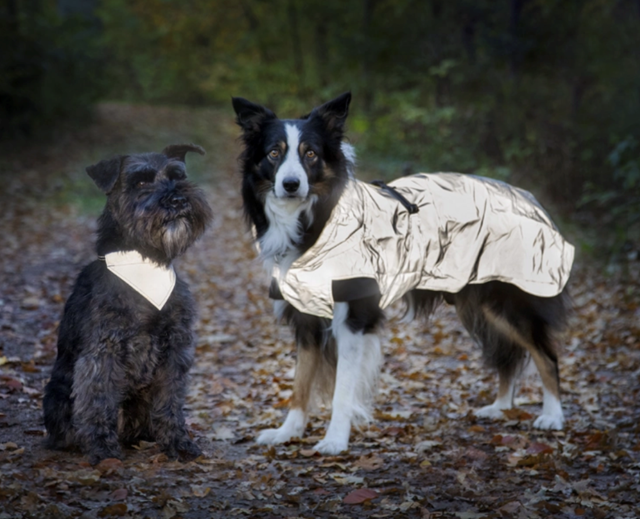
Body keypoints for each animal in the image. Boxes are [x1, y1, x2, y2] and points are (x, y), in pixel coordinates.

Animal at [43, 144, 212, 466]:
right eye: (141, 182)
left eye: (178, 176)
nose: (177, 199)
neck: (147, 261)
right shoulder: (104, 350)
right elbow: (98, 399)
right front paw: (102, 450)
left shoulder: (175, 349)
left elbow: (170, 401)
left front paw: (178, 441)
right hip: (57, 394)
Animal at [232, 93, 572, 456]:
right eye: (274, 153)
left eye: (310, 153)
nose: (291, 184)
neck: (314, 219)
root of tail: (530, 199)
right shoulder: (305, 313)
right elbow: (301, 380)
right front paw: (288, 431)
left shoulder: (354, 317)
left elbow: (342, 389)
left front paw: (335, 439)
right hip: (482, 304)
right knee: (508, 354)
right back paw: (500, 406)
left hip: (510, 300)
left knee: (545, 354)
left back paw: (553, 415)